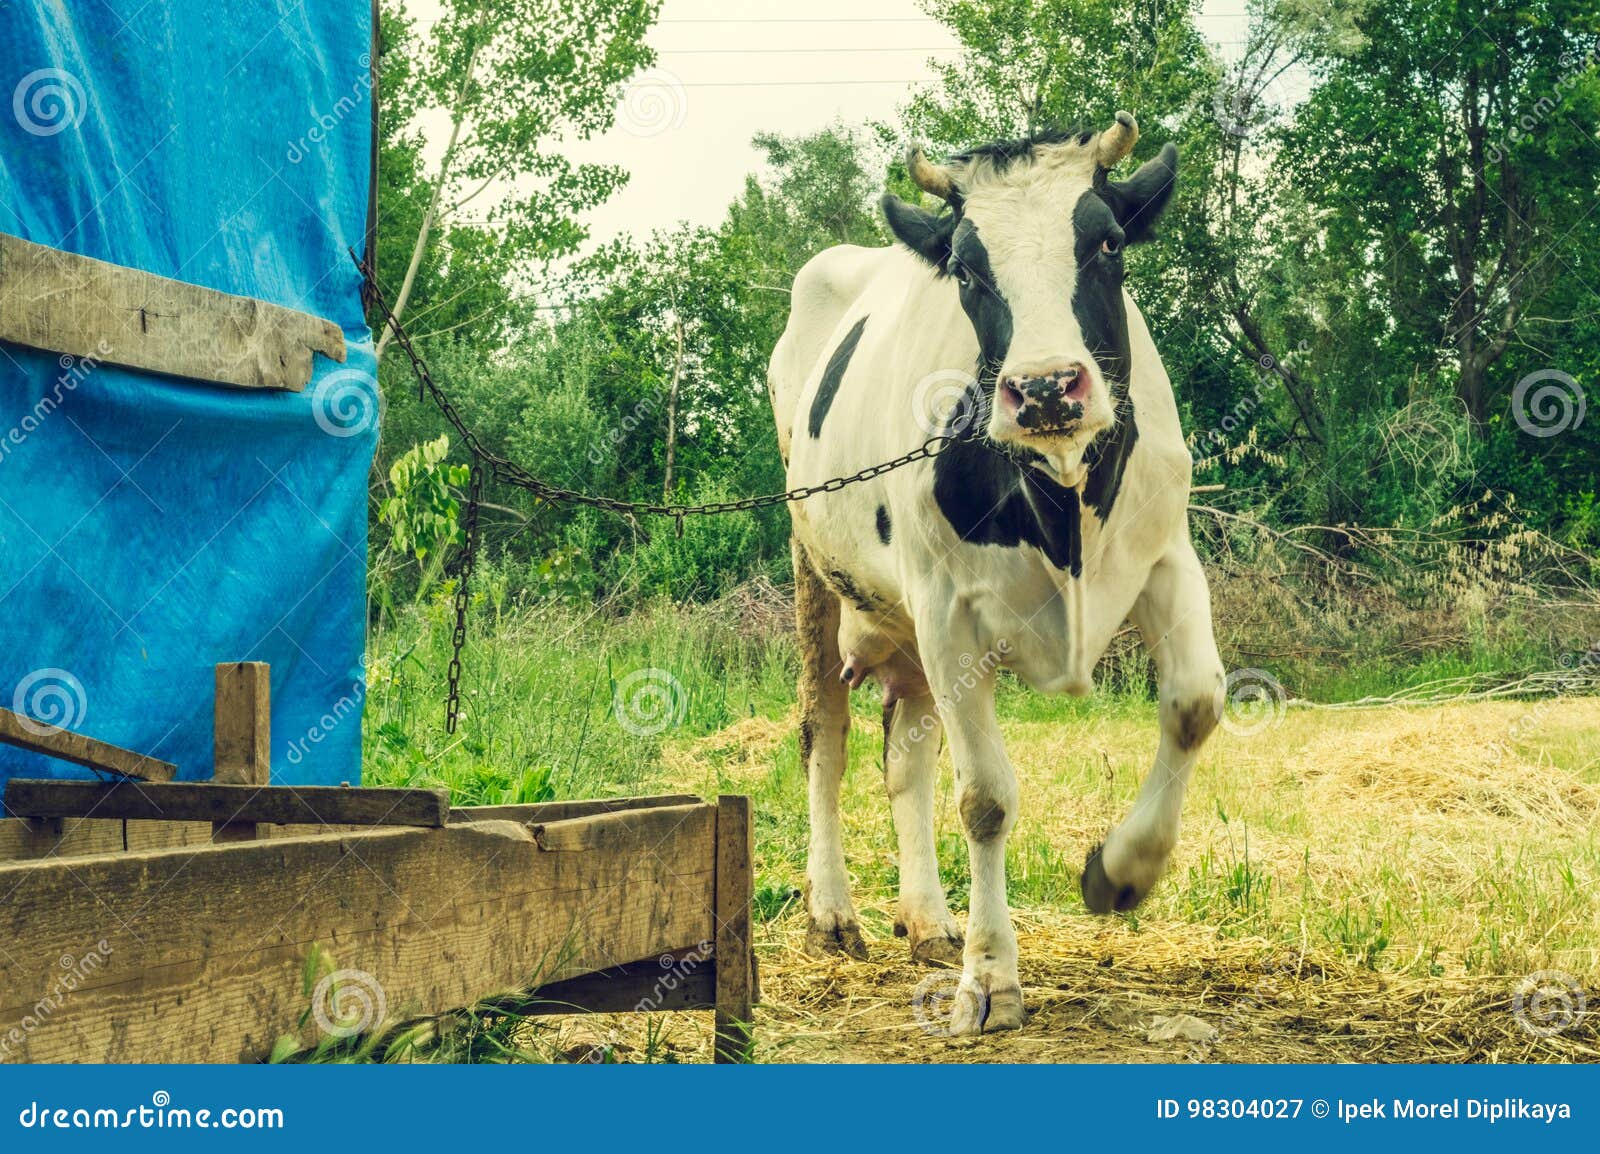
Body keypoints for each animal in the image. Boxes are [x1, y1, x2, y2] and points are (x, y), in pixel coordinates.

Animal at [771, 112, 1222, 1030]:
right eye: (970, 269)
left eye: (1107, 242)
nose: (1046, 388)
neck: (1061, 501)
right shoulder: (950, 609)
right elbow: (984, 798)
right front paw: (991, 979)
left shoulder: (1166, 556)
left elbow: (1196, 705)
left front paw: (1121, 873)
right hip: (818, 572)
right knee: (824, 736)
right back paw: (832, 912)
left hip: (904, 622)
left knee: (904, 756)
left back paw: (928, 920)